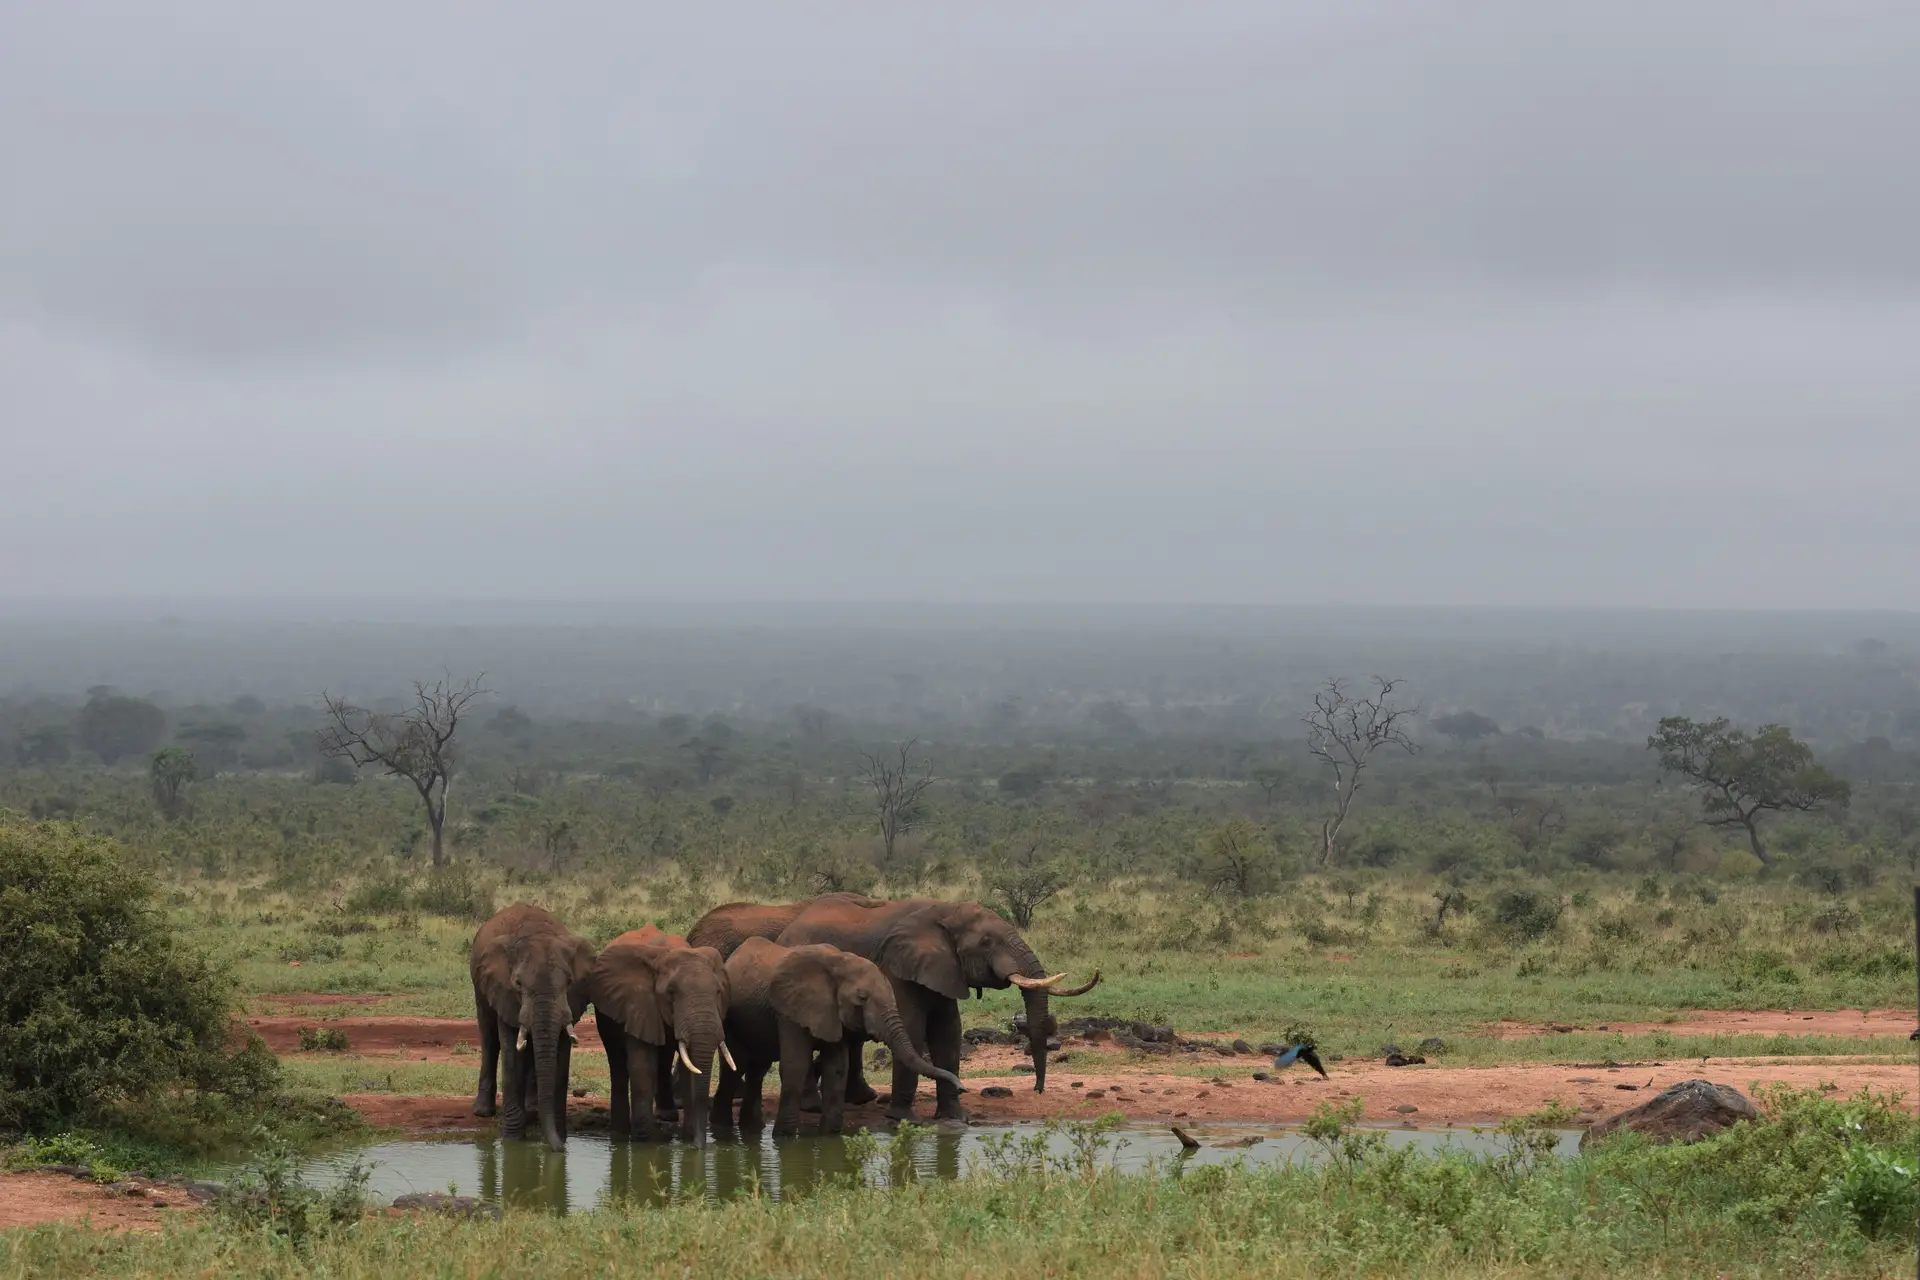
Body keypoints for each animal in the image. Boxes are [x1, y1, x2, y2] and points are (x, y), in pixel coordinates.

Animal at [466, 901, 591, 1151]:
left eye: (569, 982)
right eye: (517, 983)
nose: (560, 1149)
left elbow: (561, 1058)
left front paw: (559, 1137)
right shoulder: (504, 992)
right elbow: (511, 1053)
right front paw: (512, 1140)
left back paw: (533, 1111)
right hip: (480, 984)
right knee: (488, 1035)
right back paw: (483, 1112)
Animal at [587, 924, 729, 1143]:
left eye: (718, 992)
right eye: (671, 992)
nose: (700, 1145)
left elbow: (689, 1067)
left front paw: (687, 1138)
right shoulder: (638, 1003)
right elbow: (643, 1064)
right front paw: (644, 1141)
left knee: (664, 1057)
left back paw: (667, 1116)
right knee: (617, 1062)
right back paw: (619, 1134)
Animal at [714, 936, 967, 1136]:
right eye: (862, 998)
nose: (962, 1088)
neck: (838, 963)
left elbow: (836, 1069)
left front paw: (830, 1136)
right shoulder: (789, 1011)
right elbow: (795, 1066)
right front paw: (784, 1139)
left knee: (757, 1070)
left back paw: (750, 1129)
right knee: (737, 1067)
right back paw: (723, 1130)